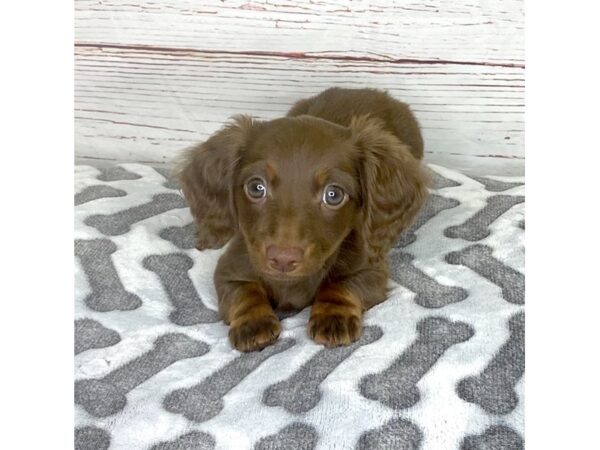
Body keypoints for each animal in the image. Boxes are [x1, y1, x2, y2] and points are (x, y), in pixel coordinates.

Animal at [176, 88, 428, 352]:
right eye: (256, 188)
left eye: (333, 194)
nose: (283, 259)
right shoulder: (229, 269)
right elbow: (245, 291)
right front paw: (252, 322)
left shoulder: (370, 269)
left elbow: (340, 284)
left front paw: (334, 315)